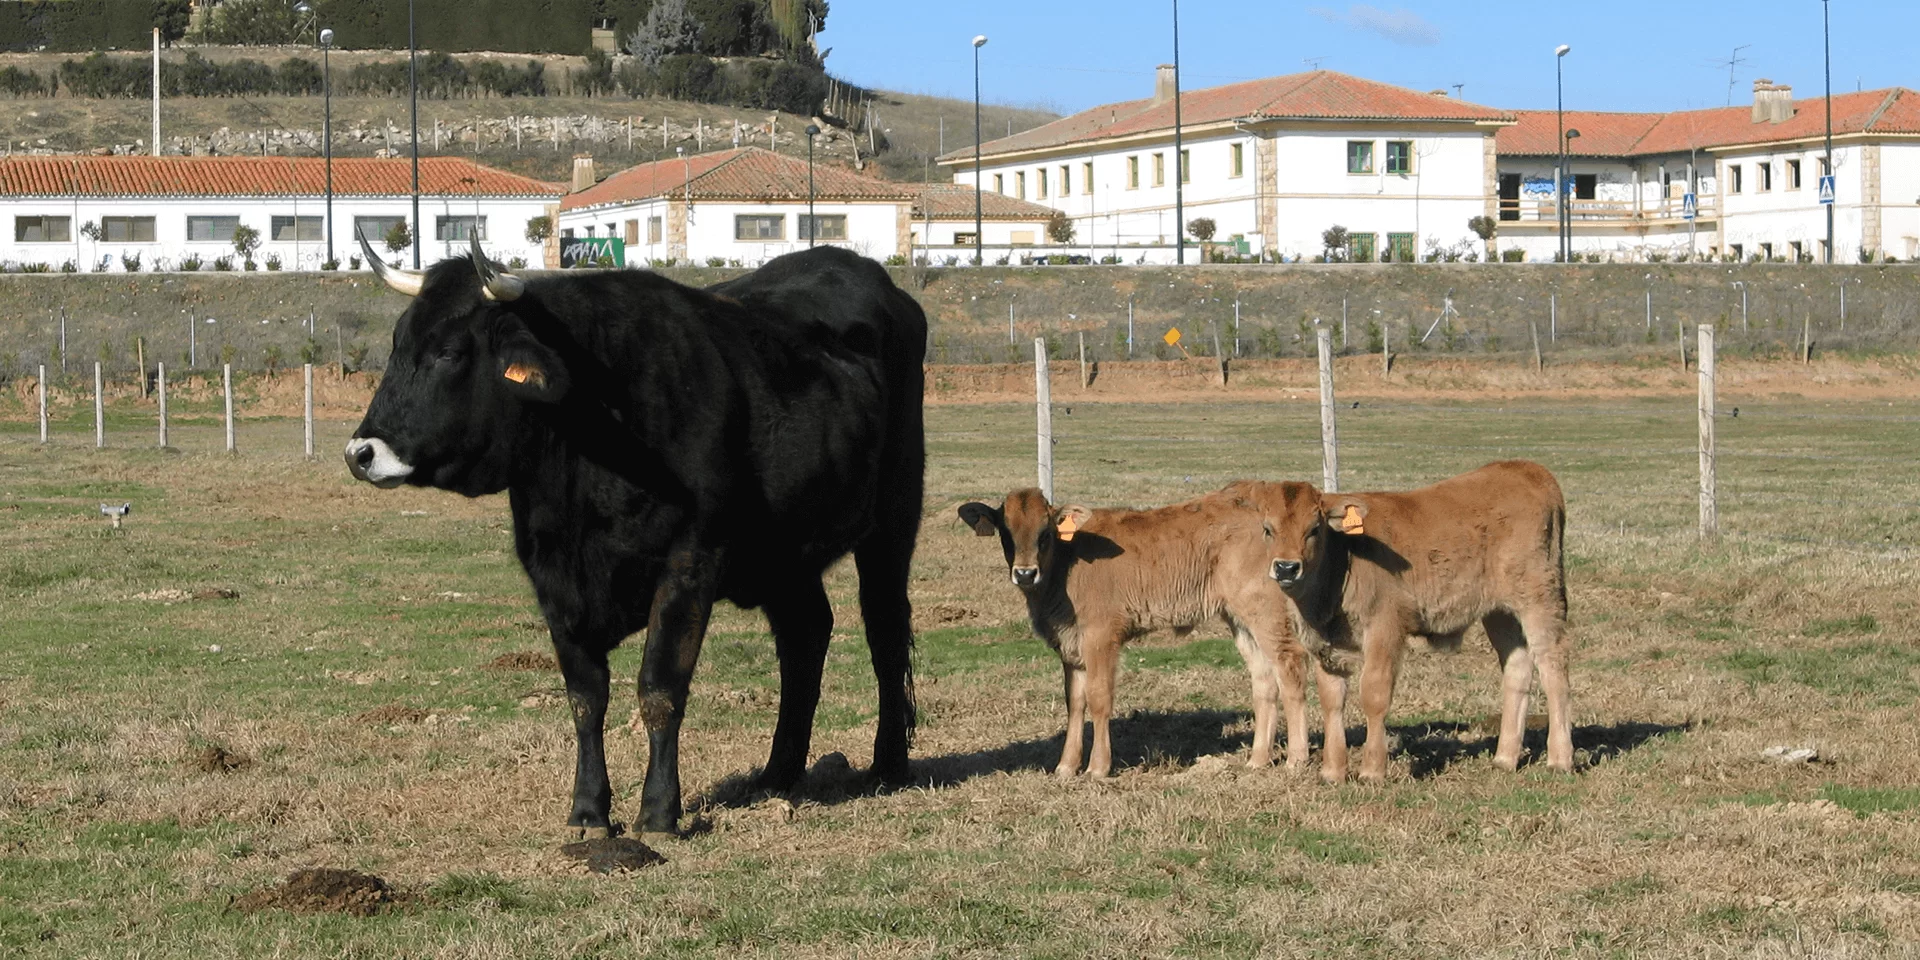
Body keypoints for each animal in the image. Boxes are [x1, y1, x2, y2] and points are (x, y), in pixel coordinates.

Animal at [347, 236, 929, 837]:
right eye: (398, 345)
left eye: (449, 352)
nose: (361, 453)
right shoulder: (553, 580)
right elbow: (585, 698)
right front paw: (587, 810)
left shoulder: (689, 564)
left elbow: (659, 688)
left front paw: (658, 811)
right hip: (784, 557)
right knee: (805, 636)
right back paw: (776, 774)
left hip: (893, 517)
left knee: (884, 629)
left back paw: (887, 763)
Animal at [956, 487, 1313, 779]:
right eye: (1005, 531)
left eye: (1045, 532)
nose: (1025, 573)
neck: (1066, 563)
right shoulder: (1071, 646)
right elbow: (1075, 702)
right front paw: (1066, 766)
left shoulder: (1101, 638)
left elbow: (1099, 698)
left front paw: (1098, 767)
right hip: (1240, 619)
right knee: (1263, 679)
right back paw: (1258, 759)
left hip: (1266, 612)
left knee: (1290, 665)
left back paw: (1296, 758)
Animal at [1244, 460, 1574, 783]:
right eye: (1267, 529)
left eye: (1314, 529)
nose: (1286, 568)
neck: (1344, 557)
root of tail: (1527, 469)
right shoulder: (1325, 645)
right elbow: (1332, 699)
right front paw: (1332, 772)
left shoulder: (1385, 628)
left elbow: (1374, 694)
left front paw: (1372, 771)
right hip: (1500, 612)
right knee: (1518, 668)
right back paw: (1505, 758)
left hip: (1539, 598)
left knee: (1553, 668)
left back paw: (1560, 759)